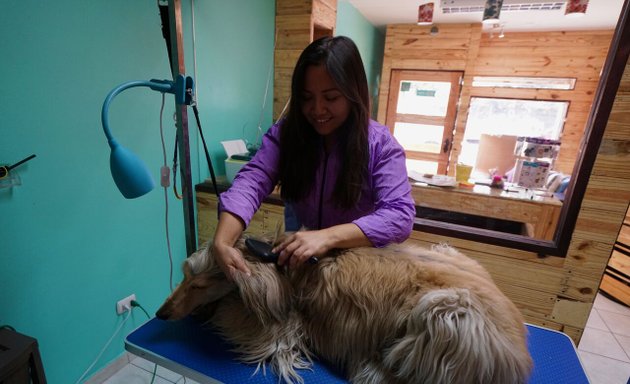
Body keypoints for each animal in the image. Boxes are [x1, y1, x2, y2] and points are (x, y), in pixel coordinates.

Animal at [157, 237, 532, 384]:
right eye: (185, 276)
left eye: (198, 284)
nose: (161, 314)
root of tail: (522, 355)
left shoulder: (281, 330)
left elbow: (234, 317)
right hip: (447, 253)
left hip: (447, 309)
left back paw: (372, 369)